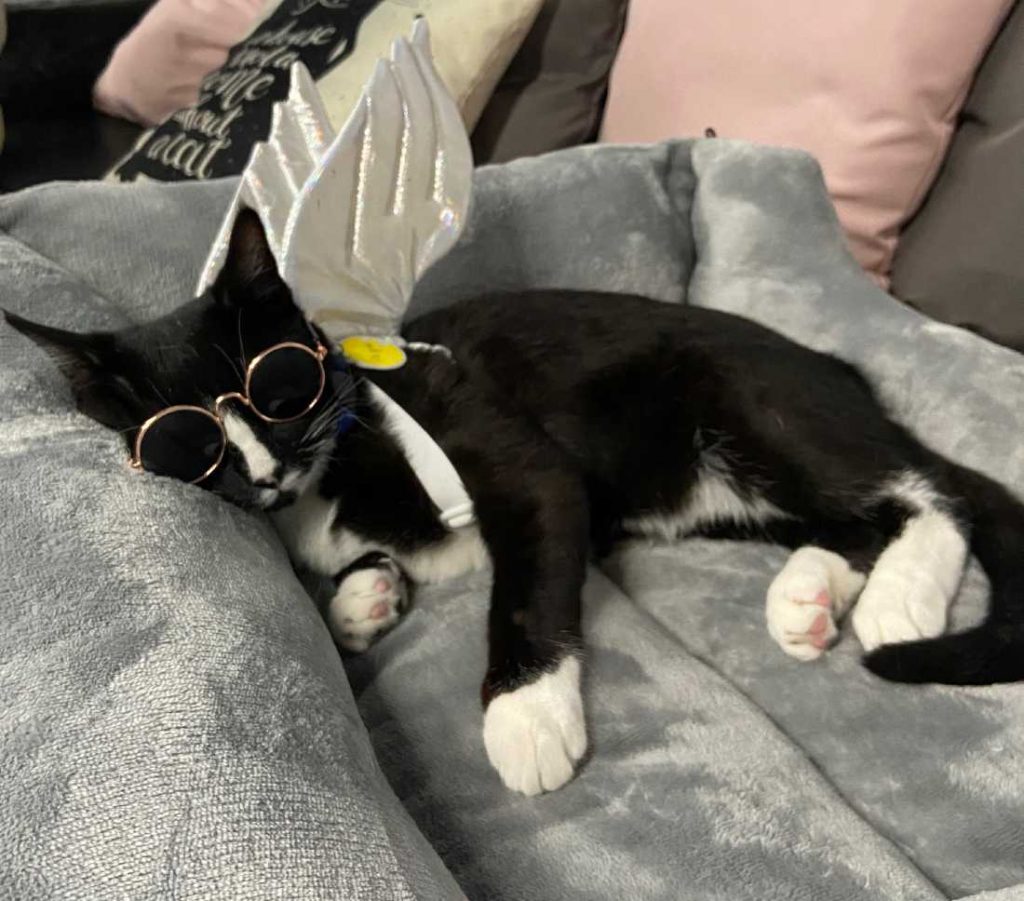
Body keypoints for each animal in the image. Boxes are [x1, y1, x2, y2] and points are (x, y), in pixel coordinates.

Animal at [7, 209, 1024, 796]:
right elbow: (347, 571)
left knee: (935, 493)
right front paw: (364, 597)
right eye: (184, 444)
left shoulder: (513, 457)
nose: (260, 471)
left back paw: (900, 602)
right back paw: (809, 597)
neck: (336, 458)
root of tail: (834, 367)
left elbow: (528, 588)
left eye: (279, 383)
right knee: (851, 521)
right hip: (724, 486)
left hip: (757, 406)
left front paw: (526, 714)